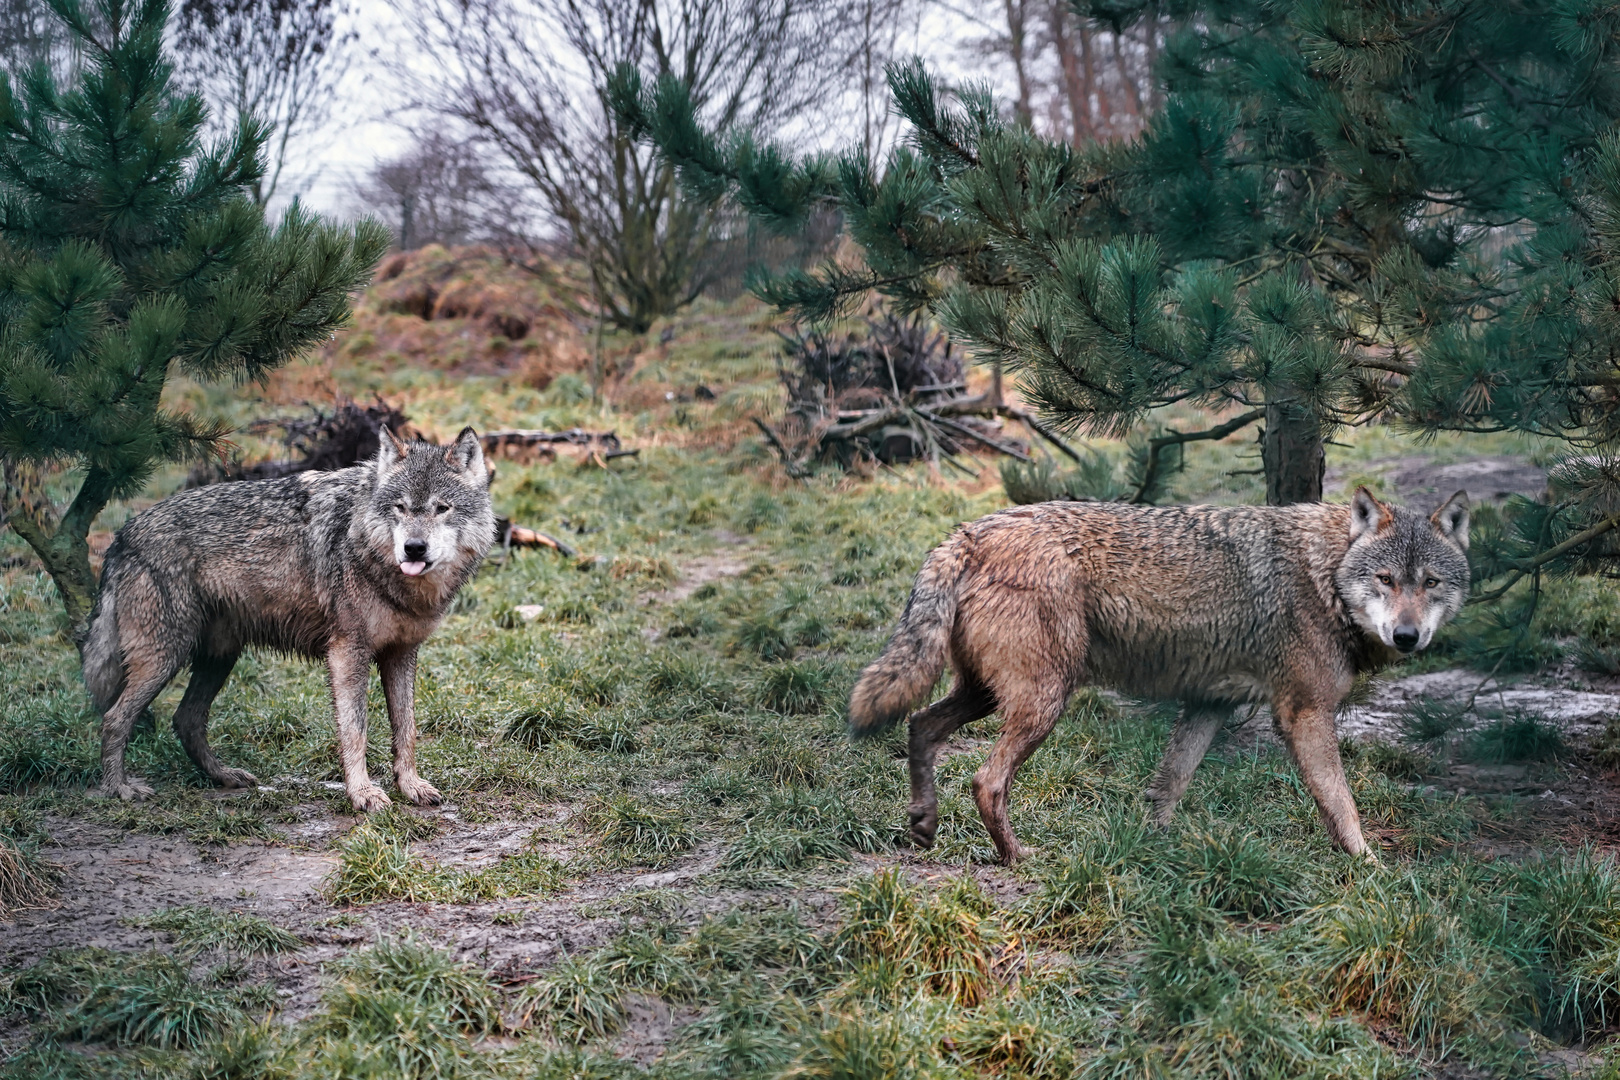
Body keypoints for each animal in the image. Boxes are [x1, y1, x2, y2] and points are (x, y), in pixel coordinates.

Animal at [82, 427, 495, 816]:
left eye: (442, 508)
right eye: (400, 507)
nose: (413, 548)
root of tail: (123, 534)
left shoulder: (402, 653)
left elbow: (406, 729)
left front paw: (410, 786)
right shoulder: (347, 652)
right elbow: (355, 730)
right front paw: (362, 794)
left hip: (219, 657)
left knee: (186, 720)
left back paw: (223, 776)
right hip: (165, 659)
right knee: (115, 718)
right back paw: (119, 789)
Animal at [848, 485, 1470, 867]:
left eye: (1431, 582)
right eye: (1386, 579)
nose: (1408, 636)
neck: (1327, 576)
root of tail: (969, 531)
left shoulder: (1207, 705)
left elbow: (1169, 784)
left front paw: (1156, 847)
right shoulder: (1303, 715)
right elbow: (1342, 803)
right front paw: (1370, 868)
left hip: (987, 696)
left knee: (920, 726)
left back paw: (923, 826)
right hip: (1044, 703)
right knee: (985, 780)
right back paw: (1017, 858)